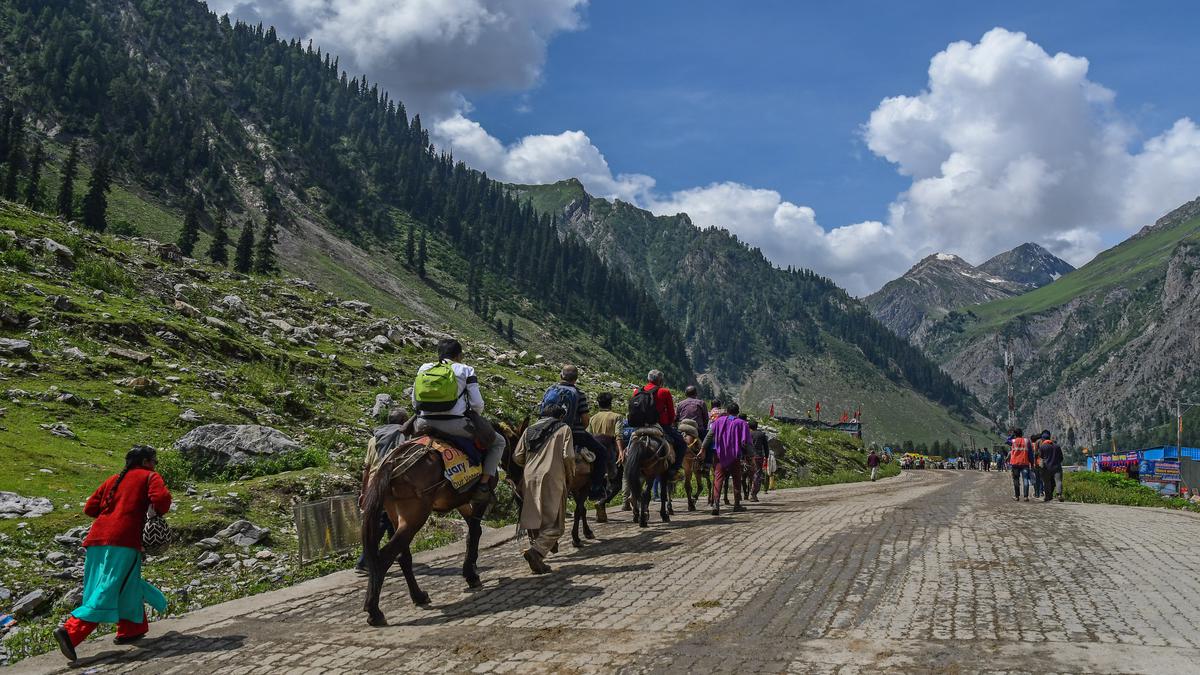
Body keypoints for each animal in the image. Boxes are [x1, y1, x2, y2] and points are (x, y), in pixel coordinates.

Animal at [357, 420, 523, 624]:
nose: (519, 478)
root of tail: (392, 462)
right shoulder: (478, 500)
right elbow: (474, 533)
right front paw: (471, 574)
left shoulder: (461, 500)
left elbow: (473, 532)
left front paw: (471, 569)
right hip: (414, 517)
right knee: (385, 557)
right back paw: (374, 611)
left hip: (397, 517)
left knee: (403, 556)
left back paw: (418, 596)